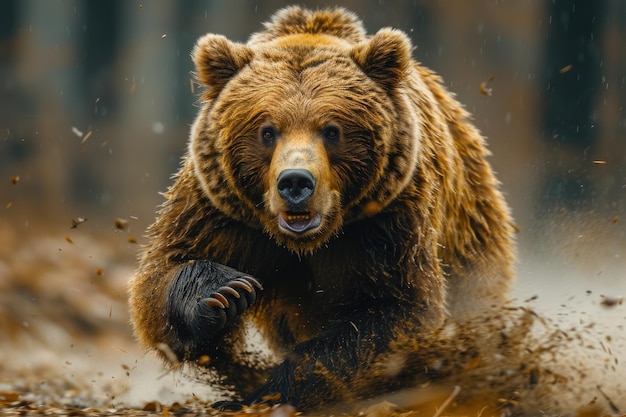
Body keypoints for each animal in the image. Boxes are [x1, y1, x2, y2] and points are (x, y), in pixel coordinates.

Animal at [125, 5, 512, 410]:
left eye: (332, 130)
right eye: (267, 131)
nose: (295, 182)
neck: (307, 242)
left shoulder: (387, 222)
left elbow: (392, 313)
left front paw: (270, 390)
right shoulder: (221, 210)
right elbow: (163, 274)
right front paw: (224, 292)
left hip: (469, 233)